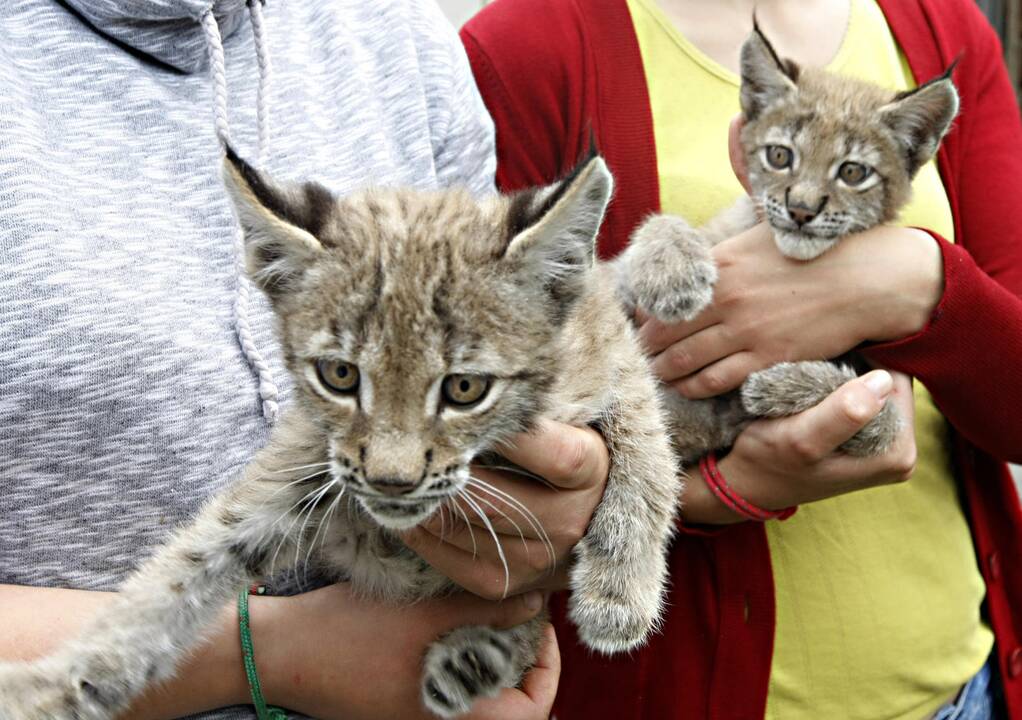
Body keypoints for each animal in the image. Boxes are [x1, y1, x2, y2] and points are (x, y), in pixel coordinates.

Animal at [1, 149, 686, 714]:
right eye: (340, 375)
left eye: (465, 387)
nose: (392, 480)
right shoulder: (311, 459)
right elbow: (177, 574)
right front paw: (58, 687)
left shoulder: (609, 343)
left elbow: (646, 444)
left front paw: (620, 594)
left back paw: (480, 657)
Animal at [617, 26, 960, 461]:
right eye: (780, 156)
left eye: (853, 172)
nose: (800, 210)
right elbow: (651, 233)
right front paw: (672, 276)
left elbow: (883, 419)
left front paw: (779, 386)